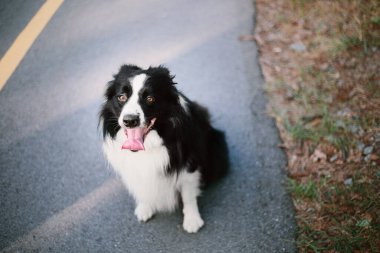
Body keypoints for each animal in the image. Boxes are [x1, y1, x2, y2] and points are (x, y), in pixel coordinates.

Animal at [98, 64, 229, 233]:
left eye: (150, 98)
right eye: (121, 97)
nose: (130, 120)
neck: (148, 145)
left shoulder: (188, 164)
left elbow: (188, 195)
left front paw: (192, 220)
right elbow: (141, 186)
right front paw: (145, 207)